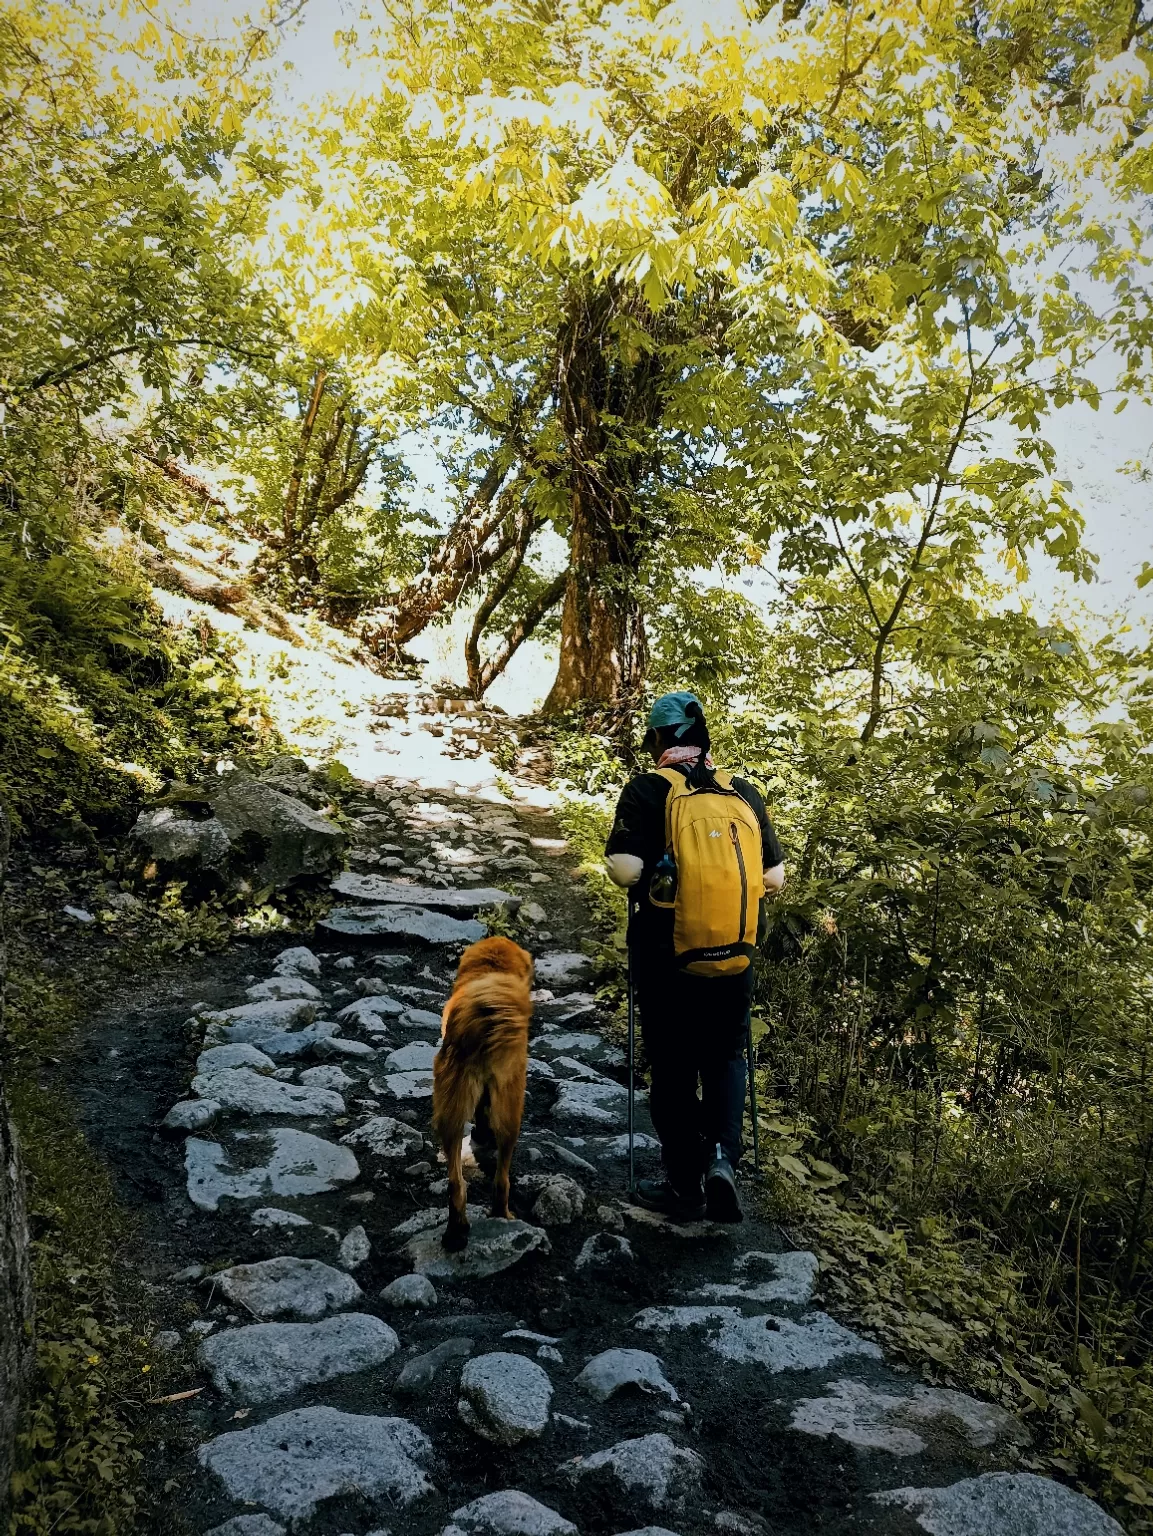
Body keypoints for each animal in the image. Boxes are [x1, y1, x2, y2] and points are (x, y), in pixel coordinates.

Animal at [436, 933, 534, 1247]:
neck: (491, 969)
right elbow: (482, 1112)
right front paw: (482, 1134)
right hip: (512, 1102)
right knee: (502, 1179)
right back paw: (502, 1214)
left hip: (450, 1112)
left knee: (455, 1183)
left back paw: (456, 1231)